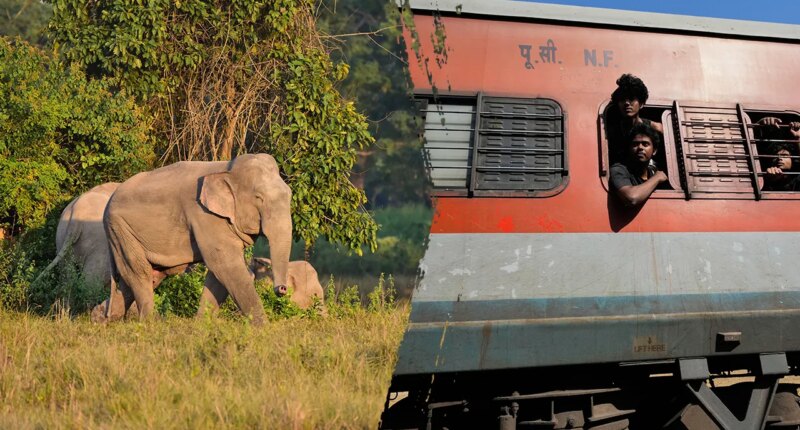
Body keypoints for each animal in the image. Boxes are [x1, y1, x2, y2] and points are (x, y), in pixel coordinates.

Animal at [102, 153, 292, 324]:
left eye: (290, 195)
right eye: (259, 197)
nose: (282, 289)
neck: (227, 169)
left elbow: (218, 274)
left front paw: (201, 326)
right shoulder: (205, 215)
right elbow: (226, 266)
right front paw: (264, 329)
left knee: (138, 279)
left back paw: (108, 321)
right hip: (120, 230)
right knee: (139, 274)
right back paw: (148, 324)